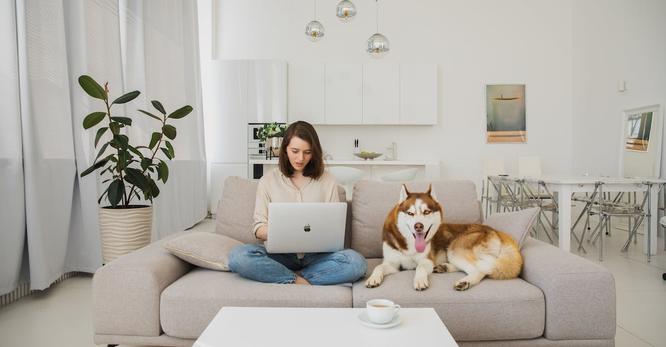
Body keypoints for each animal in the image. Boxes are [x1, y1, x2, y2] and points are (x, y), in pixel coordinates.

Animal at [364, 184, 524, 292]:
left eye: (426, 212)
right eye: (410, 213)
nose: (418, 226)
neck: (410, 245)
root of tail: (495, 230)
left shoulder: (427, 260)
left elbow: (420, 267)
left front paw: (420, 280)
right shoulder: (393, 264)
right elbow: (379, 266)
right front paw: (373, 278)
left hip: (455, 248)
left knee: (481, 269)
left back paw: (464, 282)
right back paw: (444, 267)